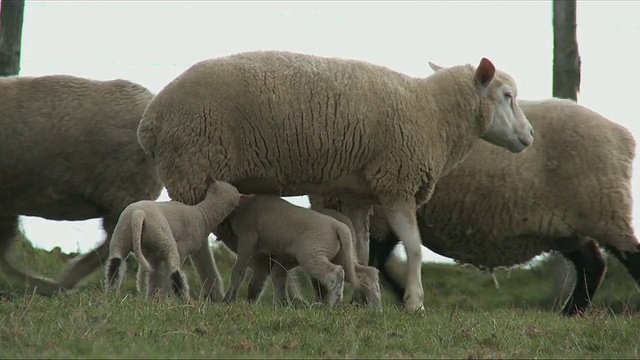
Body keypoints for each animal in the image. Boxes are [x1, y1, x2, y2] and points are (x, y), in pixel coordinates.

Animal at [106, 179, 254, 300]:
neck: (202, 215)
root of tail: (138, 215)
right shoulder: (183, 247)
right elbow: (165, 276)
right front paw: (164, 299)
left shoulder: (154, 256)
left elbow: (155, 277)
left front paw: (153, 299)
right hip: (164, 238)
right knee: (174, 270)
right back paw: (184, 300)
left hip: (121, 235)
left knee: (115, 264)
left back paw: (110, 294)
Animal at [215, 194, 382, 310]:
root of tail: (339, 226)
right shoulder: (273, 257)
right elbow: (272, 277)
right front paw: (281, 304)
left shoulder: (249, 239)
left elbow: (240, 272)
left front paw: (229, 300)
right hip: (343, 255)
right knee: (366, 273)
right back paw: (375, 308)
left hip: (311, 255)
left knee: (335, 273)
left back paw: (333, 306)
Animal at [328, 95, 636, 316]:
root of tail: (622, 137)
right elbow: (373, 260)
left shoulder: (382, 213)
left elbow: (371, 260)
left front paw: (373, 300)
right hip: (569, 226)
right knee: (592, 263)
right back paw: (570, 312)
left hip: (605, 210)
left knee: (626, 256)